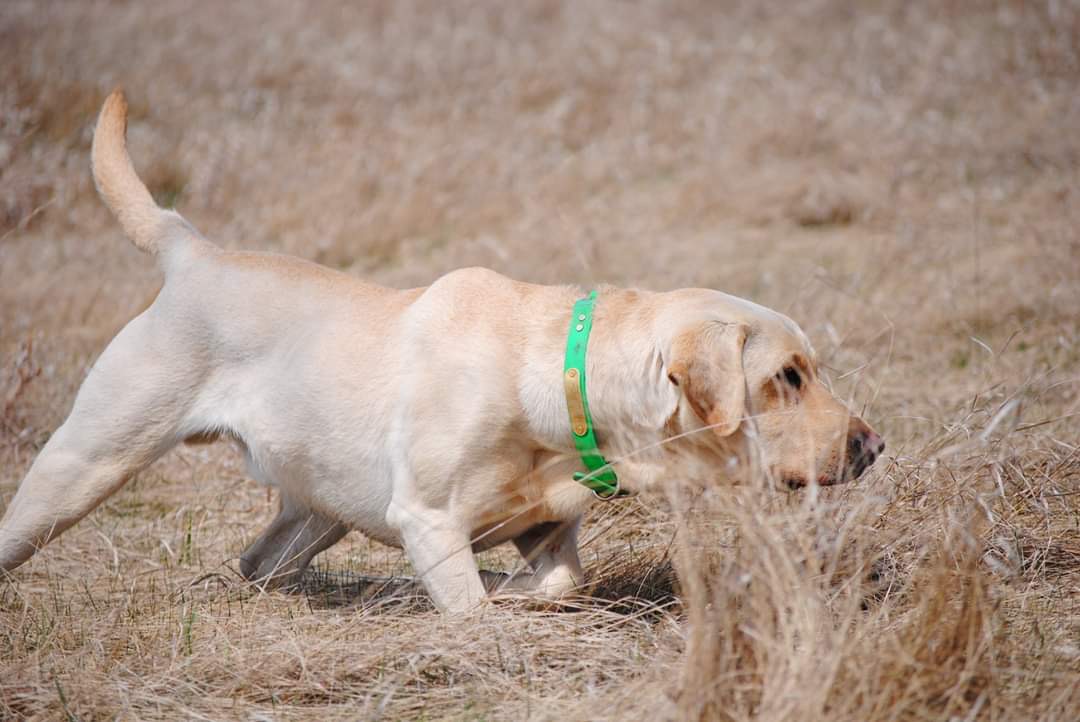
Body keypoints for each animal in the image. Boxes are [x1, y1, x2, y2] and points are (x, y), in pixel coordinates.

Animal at [0, 90, 881, 608]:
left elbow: (559, 580)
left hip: (322, 505)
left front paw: (518, 591)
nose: (873, 446)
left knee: (262, 563)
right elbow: (469, 607)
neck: (557, 379)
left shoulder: (549, 527)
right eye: (786, 378)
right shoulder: (425, 520)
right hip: (84, 463)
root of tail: (191, 249)